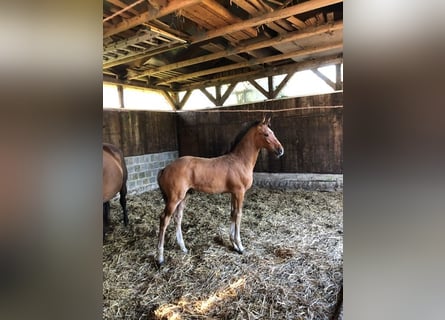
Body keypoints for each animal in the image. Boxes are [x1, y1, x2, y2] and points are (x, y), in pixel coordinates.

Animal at [156, 117, 280, 264]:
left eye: (273, 132)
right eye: (266, 134)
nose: (280, 150)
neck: (240, 161)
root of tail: (165, 169)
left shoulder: (233, 193)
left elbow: (232, 214)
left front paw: (234, 244)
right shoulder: (239, 192)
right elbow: (238, 215)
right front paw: (240, 247)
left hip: (184, 197)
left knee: (177, 218)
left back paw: (183, 248)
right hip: (174, 198)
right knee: (164, 219)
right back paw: (160, 258)